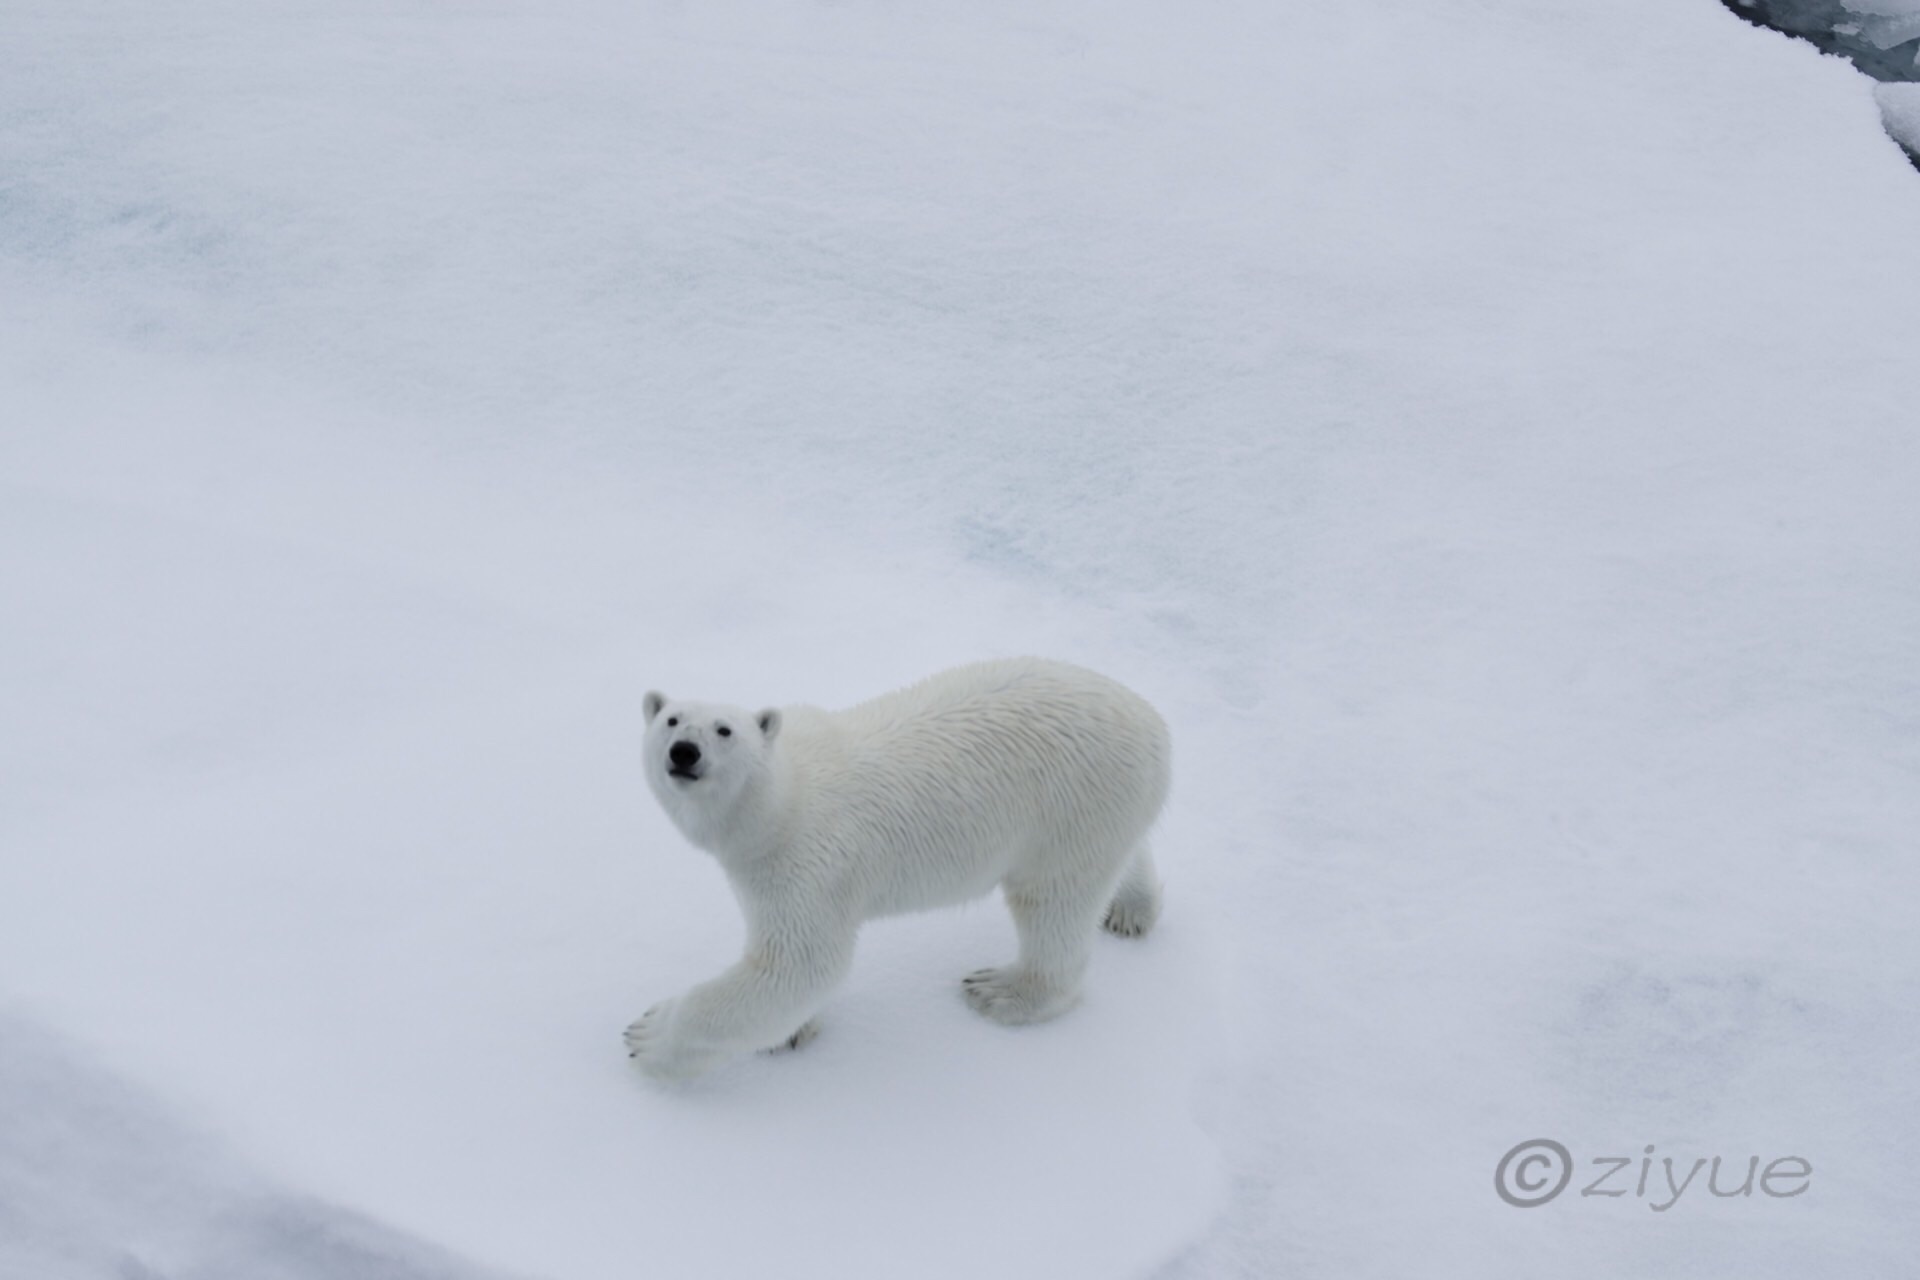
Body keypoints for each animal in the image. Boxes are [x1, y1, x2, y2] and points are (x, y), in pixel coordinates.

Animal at [629, 660, 1167, 1082]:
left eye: (724, 730)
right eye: (672, 719)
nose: (684, 751)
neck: (778, 801)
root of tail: (1156, 727)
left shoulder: (807, 861)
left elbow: (799, 965)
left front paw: (647, 1034)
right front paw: (793, 1030)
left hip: (1071, 806)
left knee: (1054, 903)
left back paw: (1002, 990)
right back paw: (1131, 909)